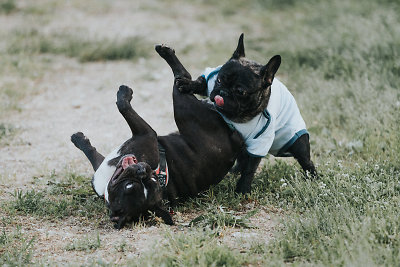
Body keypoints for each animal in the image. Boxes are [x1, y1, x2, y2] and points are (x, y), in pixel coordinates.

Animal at [177, 34, 318, 195]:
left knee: (306, 160)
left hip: (297, 143)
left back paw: (313, 177)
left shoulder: (259, 143)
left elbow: (250, 169)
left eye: (240, 92)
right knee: (242, 158)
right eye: (218, 80)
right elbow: (202, 83)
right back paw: (235, 170)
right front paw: (188, 84)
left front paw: (243, 189)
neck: (236, 116)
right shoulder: (210, 80)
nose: (222, 93)